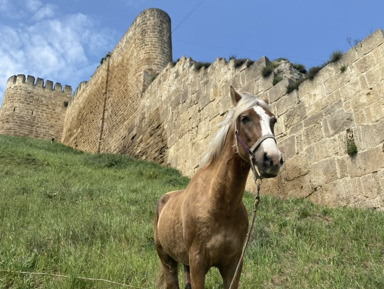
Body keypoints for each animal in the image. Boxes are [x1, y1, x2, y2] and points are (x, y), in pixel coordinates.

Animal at [154, 86, 284, 286]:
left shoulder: (233, 265)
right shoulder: (197, 264)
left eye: (273, 120)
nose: (273, 159)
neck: (220, 205)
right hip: (167, 260)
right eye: (244, 118)